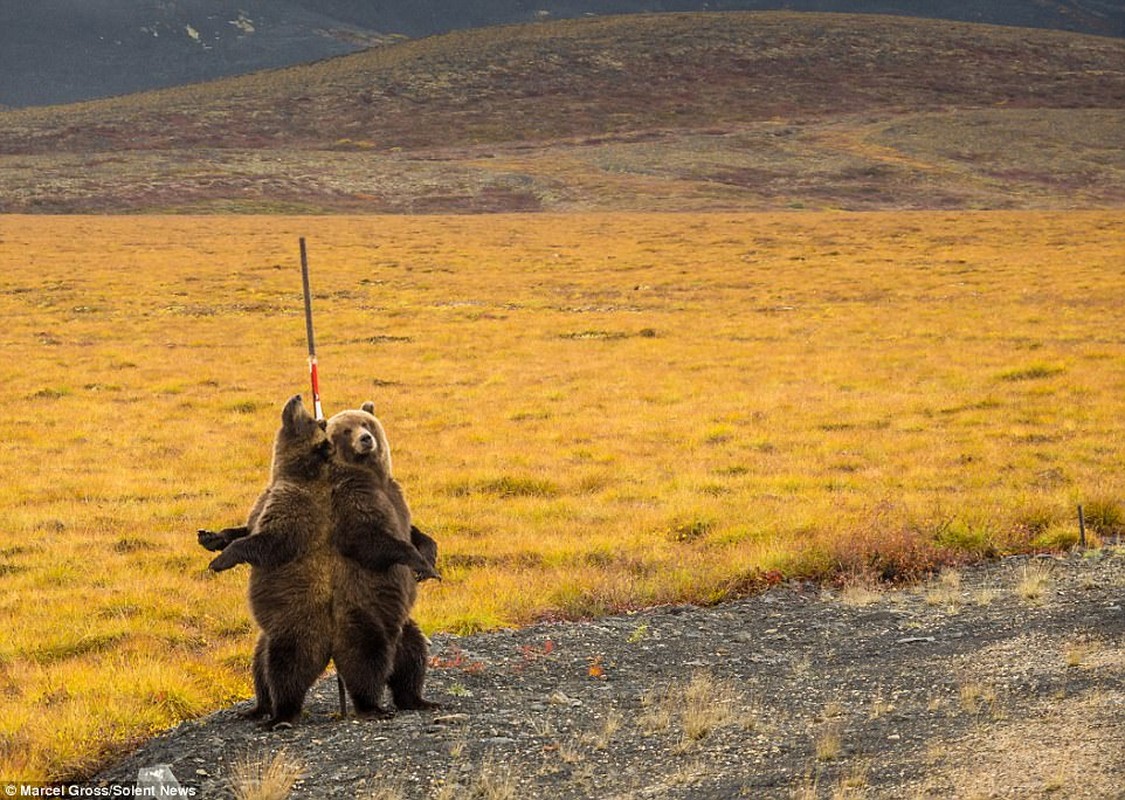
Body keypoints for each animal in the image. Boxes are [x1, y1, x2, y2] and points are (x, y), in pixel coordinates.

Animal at [326, 402, 438, 715]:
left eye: (366, 423)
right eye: (346, 430)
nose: (365, 439)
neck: (372, 475)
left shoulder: (396, 496)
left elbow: (414, 532)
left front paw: (429, 560)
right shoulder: (353, 500)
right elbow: (369, 539)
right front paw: (418, 562)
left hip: (405, 627)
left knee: (412, 659)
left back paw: (419, 699)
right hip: (365, 613)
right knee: (366, 661)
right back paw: (372, 706)